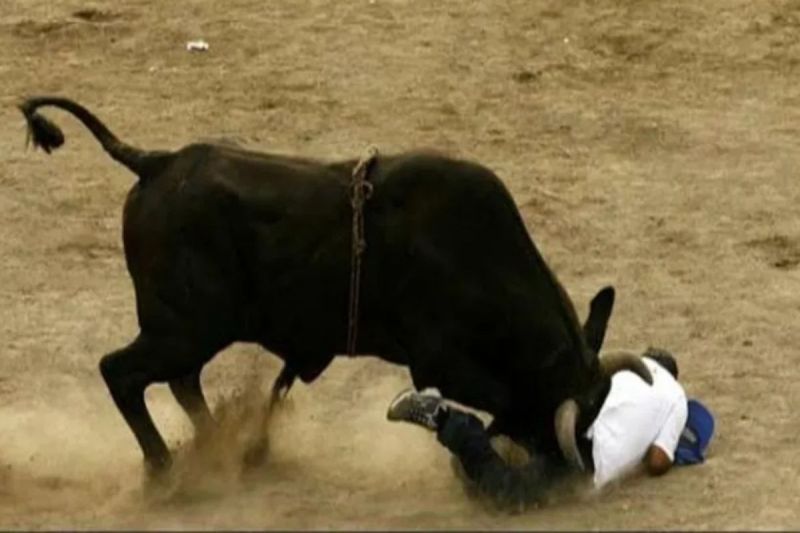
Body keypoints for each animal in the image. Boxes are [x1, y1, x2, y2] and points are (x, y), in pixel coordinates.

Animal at [19, 97, 652, 479]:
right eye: (578, 422)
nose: (573, 471)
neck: (476, 257)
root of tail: (155, 163)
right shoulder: (441, 362)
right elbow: (501, 395)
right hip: (184, 328)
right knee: (122, 372)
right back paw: (167, 474)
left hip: (189, 330)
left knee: (179, 381)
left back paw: (222, 447)